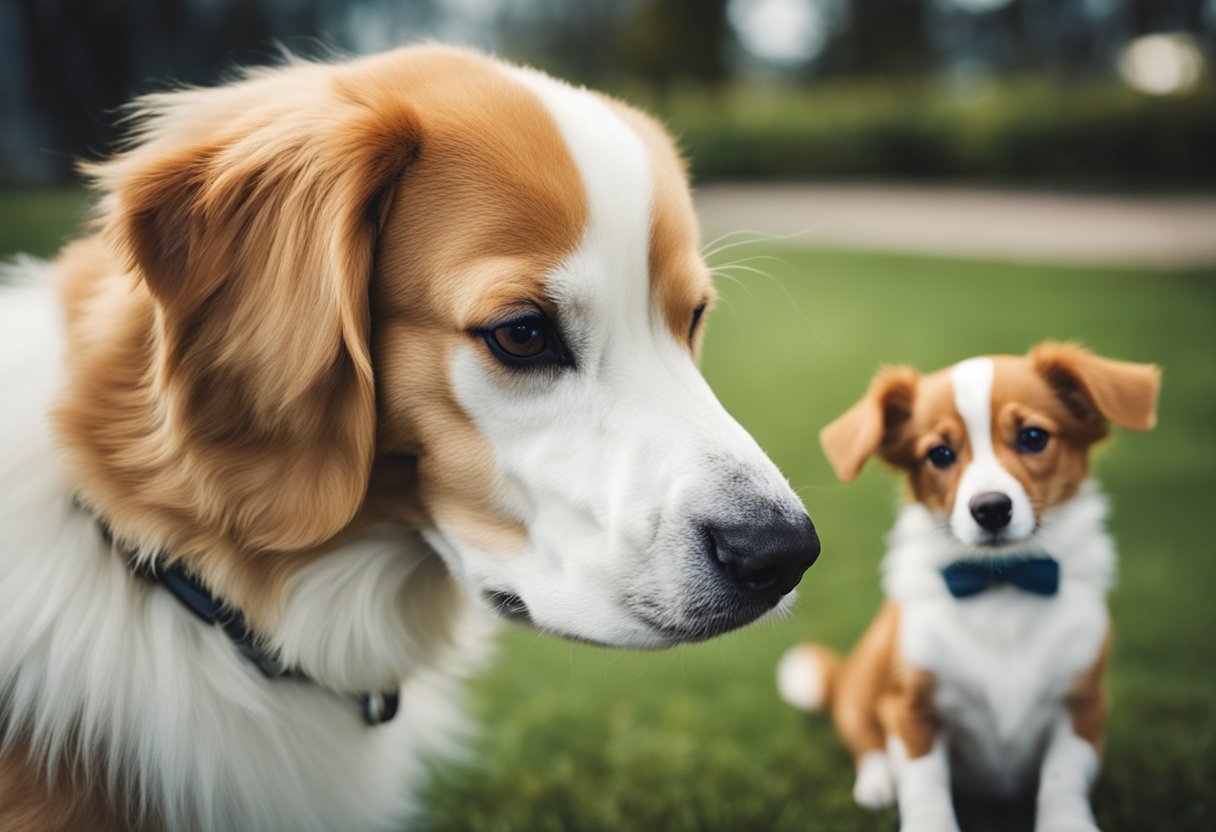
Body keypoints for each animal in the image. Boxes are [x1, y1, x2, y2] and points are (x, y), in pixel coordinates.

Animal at [778, 343, 1157, 832]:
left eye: (1034, 437)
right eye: (940, 454)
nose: (991, 508)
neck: (1001, 584)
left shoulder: (1083, 707)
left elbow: (1062, 780)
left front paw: (1067, 823)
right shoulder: (912, 711)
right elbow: (925, 789)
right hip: (864, 684)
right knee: (865, 740)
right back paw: (877, 783)